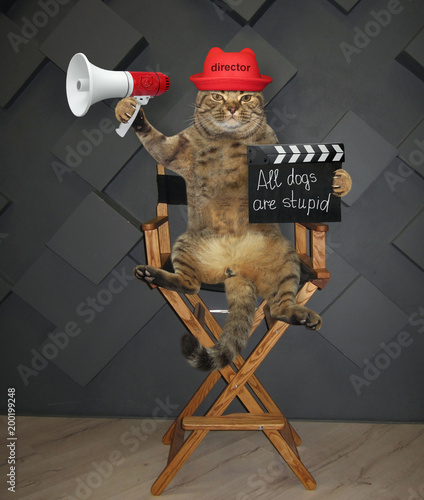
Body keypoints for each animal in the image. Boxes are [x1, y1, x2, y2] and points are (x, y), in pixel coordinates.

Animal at [116, 90, 352, 372]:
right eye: (217, 96)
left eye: (246, 97)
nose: (231, 108)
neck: (229, 137)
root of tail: (236, 267)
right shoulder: (177, 149)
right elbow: (157, 142)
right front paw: (131, 113)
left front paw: (341, 181)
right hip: (185, 244)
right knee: (190, 285)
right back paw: (151, 274)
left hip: (286, 259)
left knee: (278, 308)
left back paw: (300, 314)